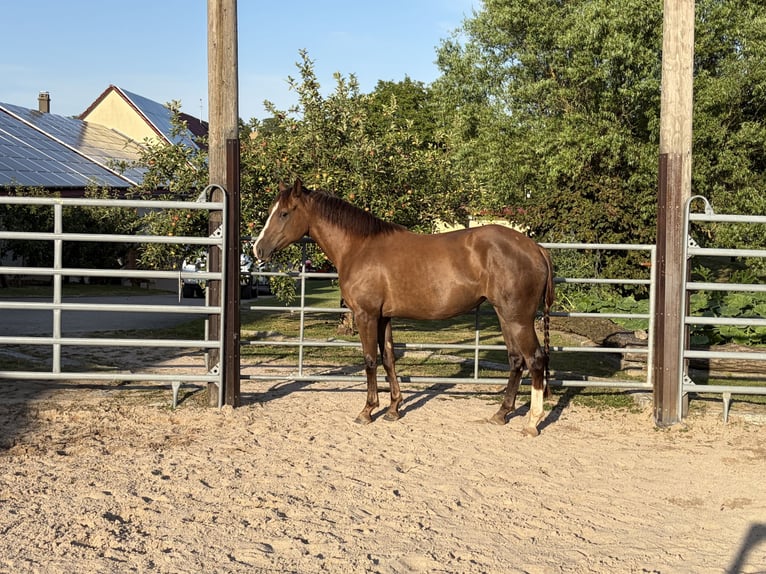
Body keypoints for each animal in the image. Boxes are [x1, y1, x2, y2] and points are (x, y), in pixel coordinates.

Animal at [254, 180, 555, 436]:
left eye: (284, 213)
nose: (258, 249)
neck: (359, 247)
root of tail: (536, 248)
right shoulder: (384, 317)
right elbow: (388, 358)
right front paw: (394, 408)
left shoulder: (366, 315)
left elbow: (370, 360)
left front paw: (367, 411)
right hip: (505, 316)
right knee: (516, 360)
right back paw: (501, 414)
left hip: (518, 319)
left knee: (535, 359)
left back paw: (532, 422)